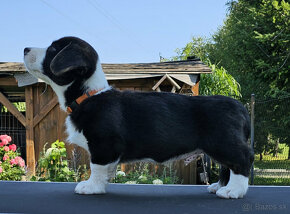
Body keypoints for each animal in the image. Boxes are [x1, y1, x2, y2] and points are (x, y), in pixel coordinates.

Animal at [23, 36, 254, 199]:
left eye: (53, 49)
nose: (25, 49)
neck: (89, 95)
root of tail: (240, 107)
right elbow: (106, 171)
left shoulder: (102, 145)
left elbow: (96, 168)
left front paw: (91, 187)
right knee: (227, 166)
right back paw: (220, 187)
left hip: (223, 143)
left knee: (242, 159)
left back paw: (234, 191)